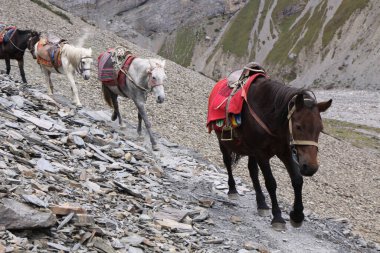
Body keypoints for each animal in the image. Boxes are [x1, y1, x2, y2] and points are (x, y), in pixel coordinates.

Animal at [208, 62, 332, 229]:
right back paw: (233, 190)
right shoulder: (262, 154)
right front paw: (278, 217)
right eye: (298, 126)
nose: (311, 167)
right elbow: (271, 183)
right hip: (223, 142)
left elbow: (297, 180)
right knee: (228, 163)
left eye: (320, 129)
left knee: (252, 171)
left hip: (251, 151)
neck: (270, 117)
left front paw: (297, 215)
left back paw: (262, 204)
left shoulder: (285, 152)